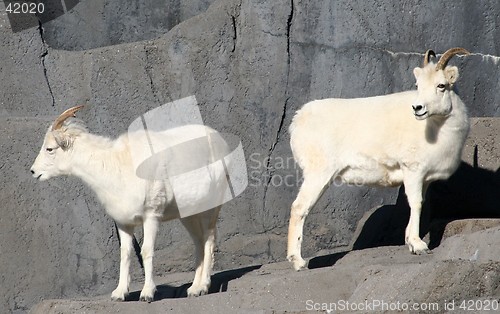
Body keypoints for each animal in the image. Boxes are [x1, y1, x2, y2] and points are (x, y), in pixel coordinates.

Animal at [29, 106, 229, 302]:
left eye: (49, 149)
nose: (33, 172)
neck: (118, 167)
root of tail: (221, 142)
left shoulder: (151, 216)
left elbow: (146, 251)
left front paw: (147, 293)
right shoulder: (123, 223)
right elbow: (125, 253)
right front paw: (119, 293)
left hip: (210, 208)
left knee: (209, 240)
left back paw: (203, 287)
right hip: (189, 215)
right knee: (198, 242)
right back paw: (193, 289)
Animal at [288, 47, 470, 272]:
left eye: (441, 85)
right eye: (418, 86)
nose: (418, 108)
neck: (437, 130)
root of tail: (298, 120)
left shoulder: (425, 178)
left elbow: (420, 204)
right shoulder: (413, 170)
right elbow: (416, 203)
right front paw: (418, 246)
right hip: (318, 174)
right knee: (299, 208)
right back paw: (298, 263)